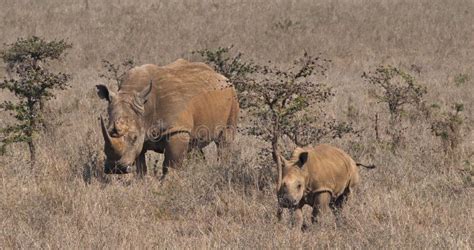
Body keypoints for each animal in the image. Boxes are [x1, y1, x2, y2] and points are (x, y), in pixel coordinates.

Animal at [96, 58, 239, 177]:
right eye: (108, 132)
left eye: (134, 137)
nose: (115, 169)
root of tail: (221, 76)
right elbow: (140, 165)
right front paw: (141, 182)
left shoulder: (177, 129)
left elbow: (170, 164)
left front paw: (167, 185)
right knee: (195, 144)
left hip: (232, 95)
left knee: (225, 140)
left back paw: (222, 170)